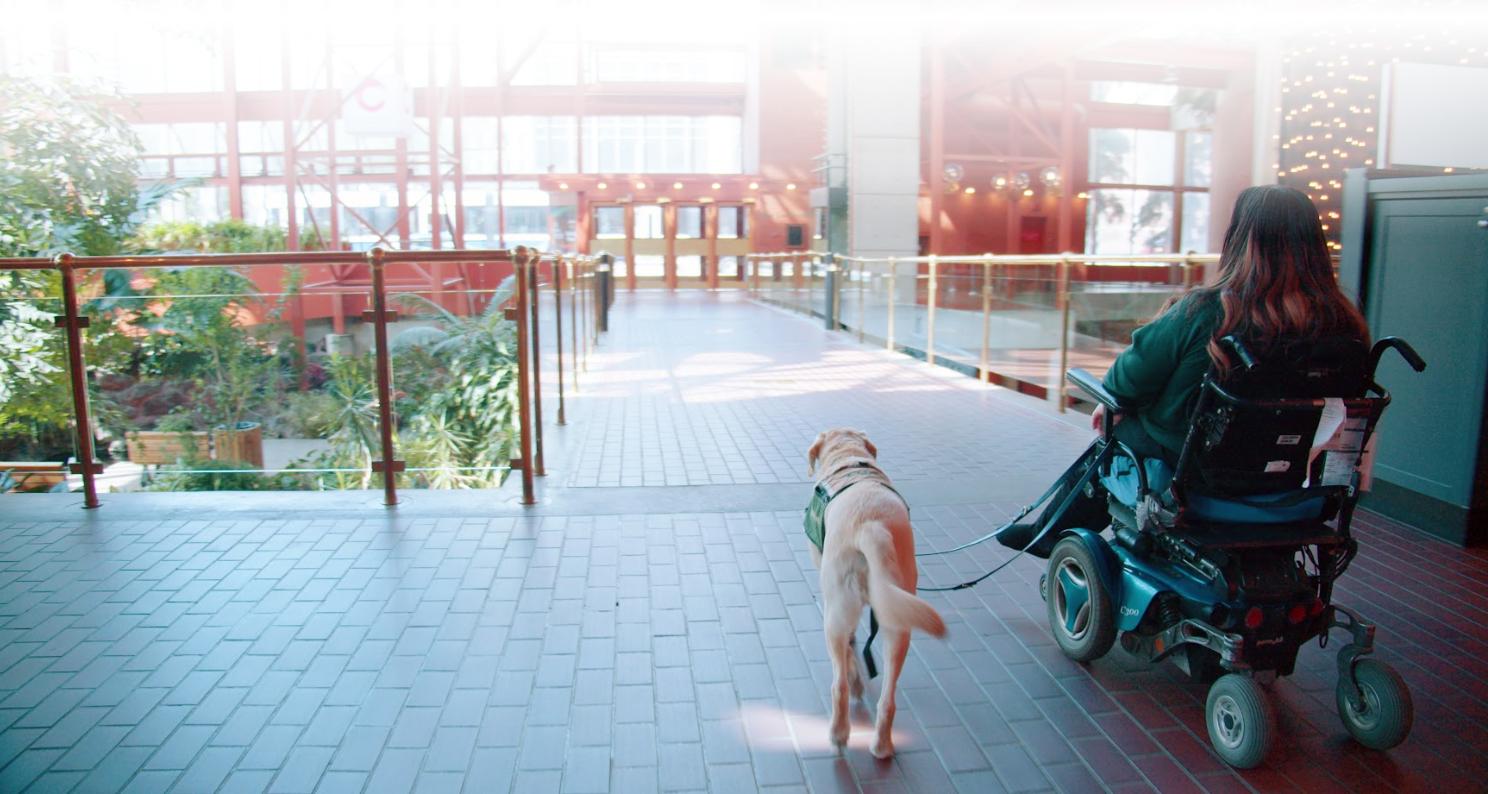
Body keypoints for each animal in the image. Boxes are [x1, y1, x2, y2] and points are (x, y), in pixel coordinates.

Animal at [805, 428, 946, 759]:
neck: (848, 457)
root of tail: (871, 526)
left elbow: (849, 649)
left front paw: (856, 676)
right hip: (900, 618)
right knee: (888, 697)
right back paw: (882, 744)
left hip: (836, 608)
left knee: (839, 683)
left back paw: (839, 732)